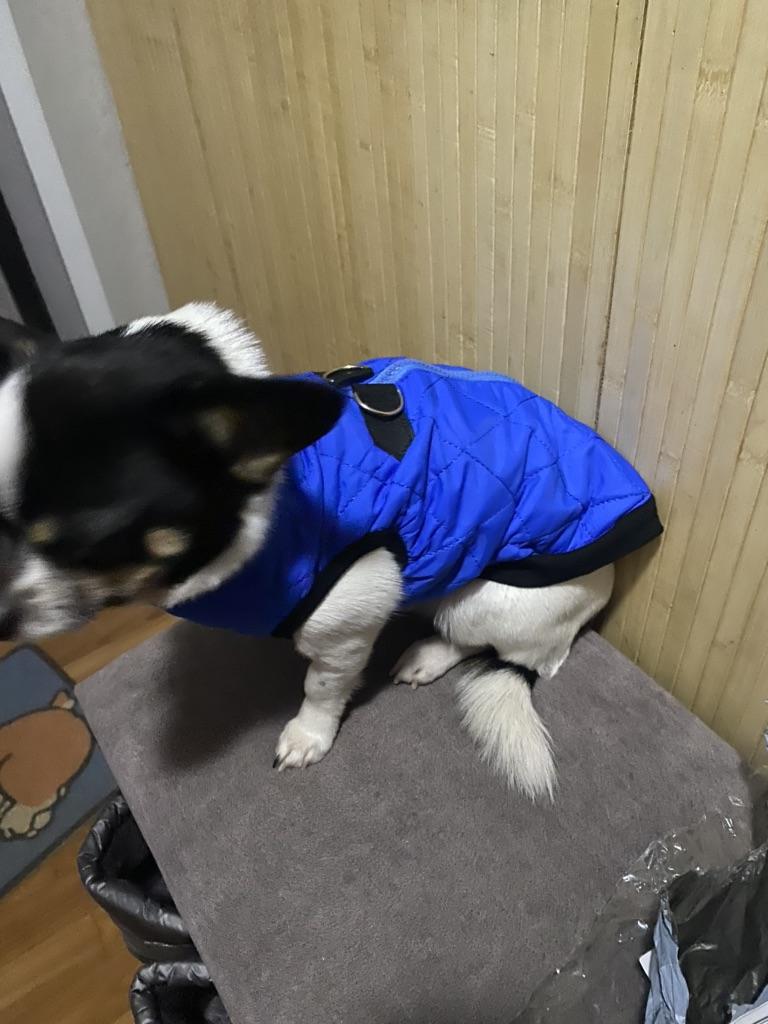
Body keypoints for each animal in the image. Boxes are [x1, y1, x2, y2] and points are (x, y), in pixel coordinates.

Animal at [0, 305, 661, 800]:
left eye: (90, 540)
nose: (3, 623)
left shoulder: (345, 618)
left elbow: (321, 685)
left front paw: (308, 734)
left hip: (486, 601)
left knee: (488, 644)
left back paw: (431, 654)